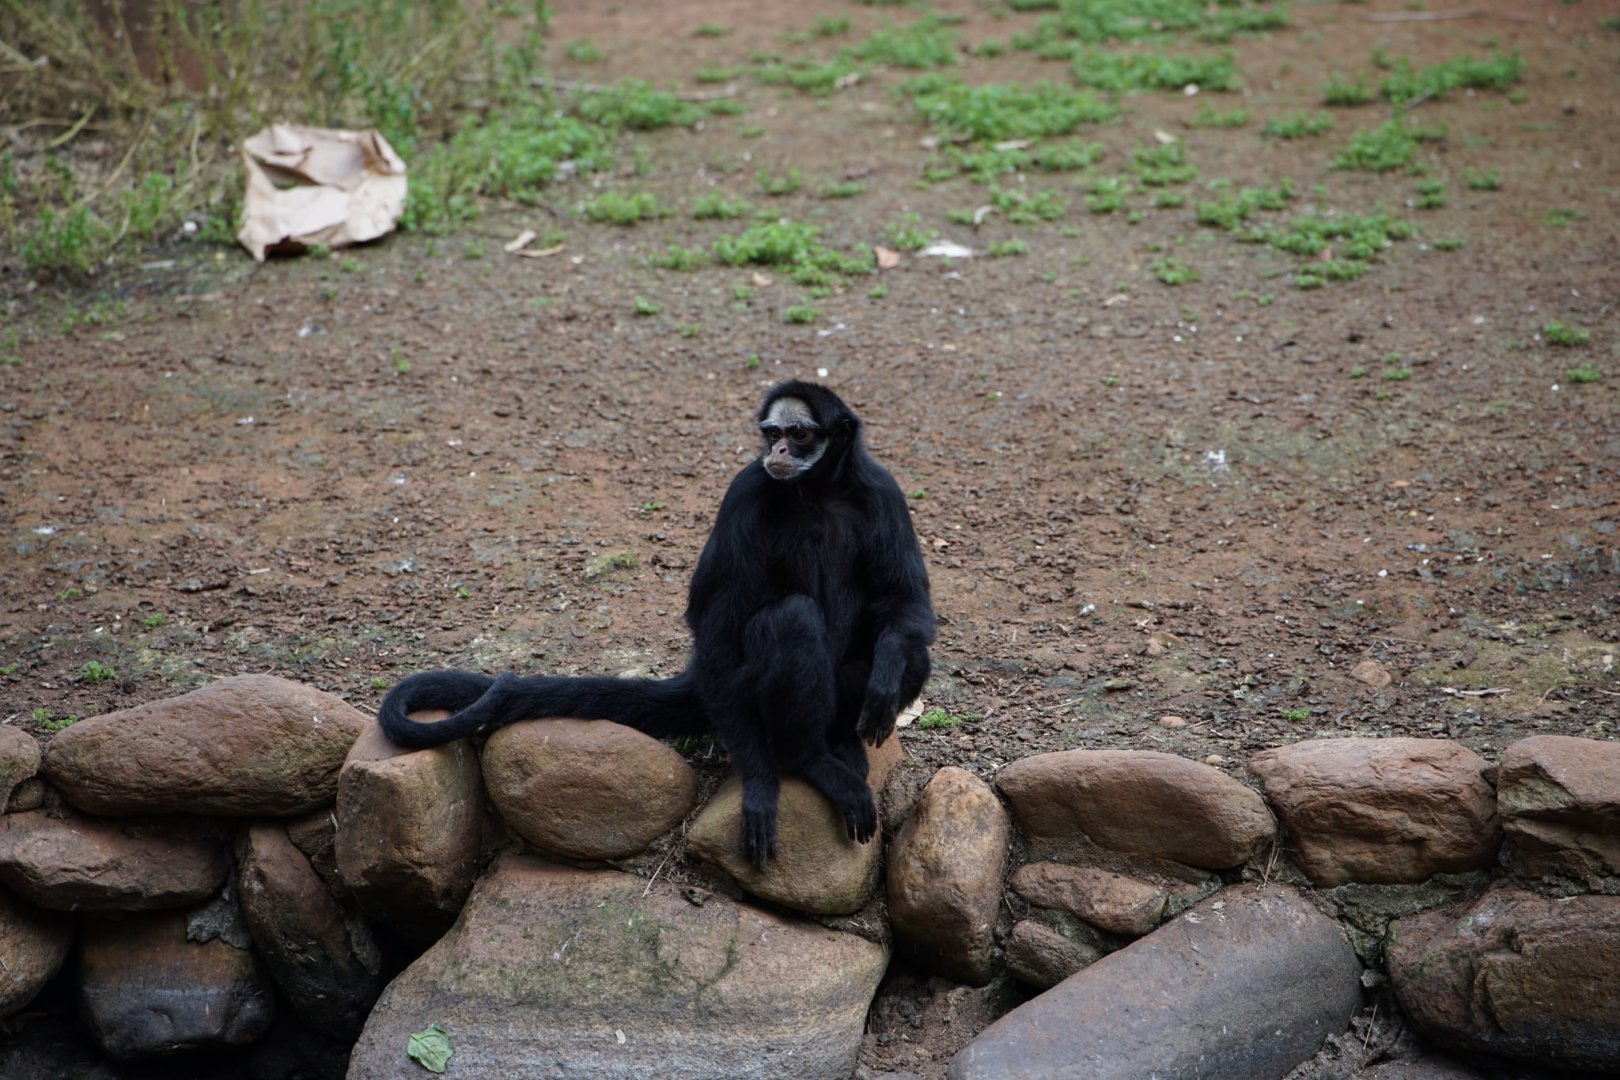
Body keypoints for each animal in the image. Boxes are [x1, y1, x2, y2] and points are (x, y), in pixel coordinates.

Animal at [377, 381, 936, 869]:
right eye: (772, 433)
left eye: (799, 434)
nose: (777, 450)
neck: (812, 493)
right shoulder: (748, 489)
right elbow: (715, 629)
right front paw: (760, 784)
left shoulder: (881, 491)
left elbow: (909, 609)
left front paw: (885, 675)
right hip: (744, 687)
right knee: (790, 619)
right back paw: (808, 760)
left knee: (913, 651)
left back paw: (842, 740)